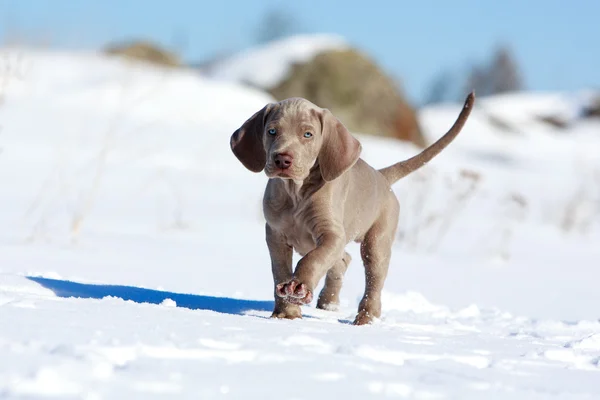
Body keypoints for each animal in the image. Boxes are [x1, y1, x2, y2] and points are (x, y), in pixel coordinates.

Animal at [230, 92, 474, 324]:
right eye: (272, 131)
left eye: (308, 134)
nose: (282, 159)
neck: (296, 192)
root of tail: (382, 176)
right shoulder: (275, 234)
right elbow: (280, 271)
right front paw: (286, 313)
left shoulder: (331, 234)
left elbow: (313, 260)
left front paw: (298, 286)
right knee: (343, 259)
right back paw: (328, 303)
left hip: (376, 243)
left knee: (373, 282)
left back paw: (365, 318)